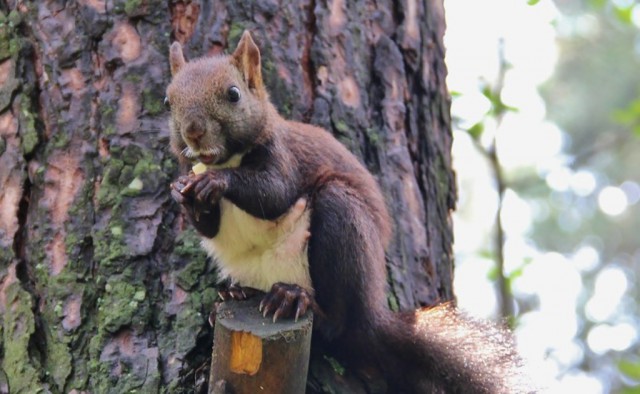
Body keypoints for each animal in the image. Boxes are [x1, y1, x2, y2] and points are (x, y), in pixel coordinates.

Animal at [165, 30, 528, 394]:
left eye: (233, 94)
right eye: (168, 102)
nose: (193, 131)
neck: (229, 158)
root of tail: (373, 320)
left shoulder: (284, 157)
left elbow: (274, 193)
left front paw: (216, 181)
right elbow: (209, 227)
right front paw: (182, 192)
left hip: (342, 224)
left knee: (337, 325)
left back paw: (293, 300)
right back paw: (236, 293)